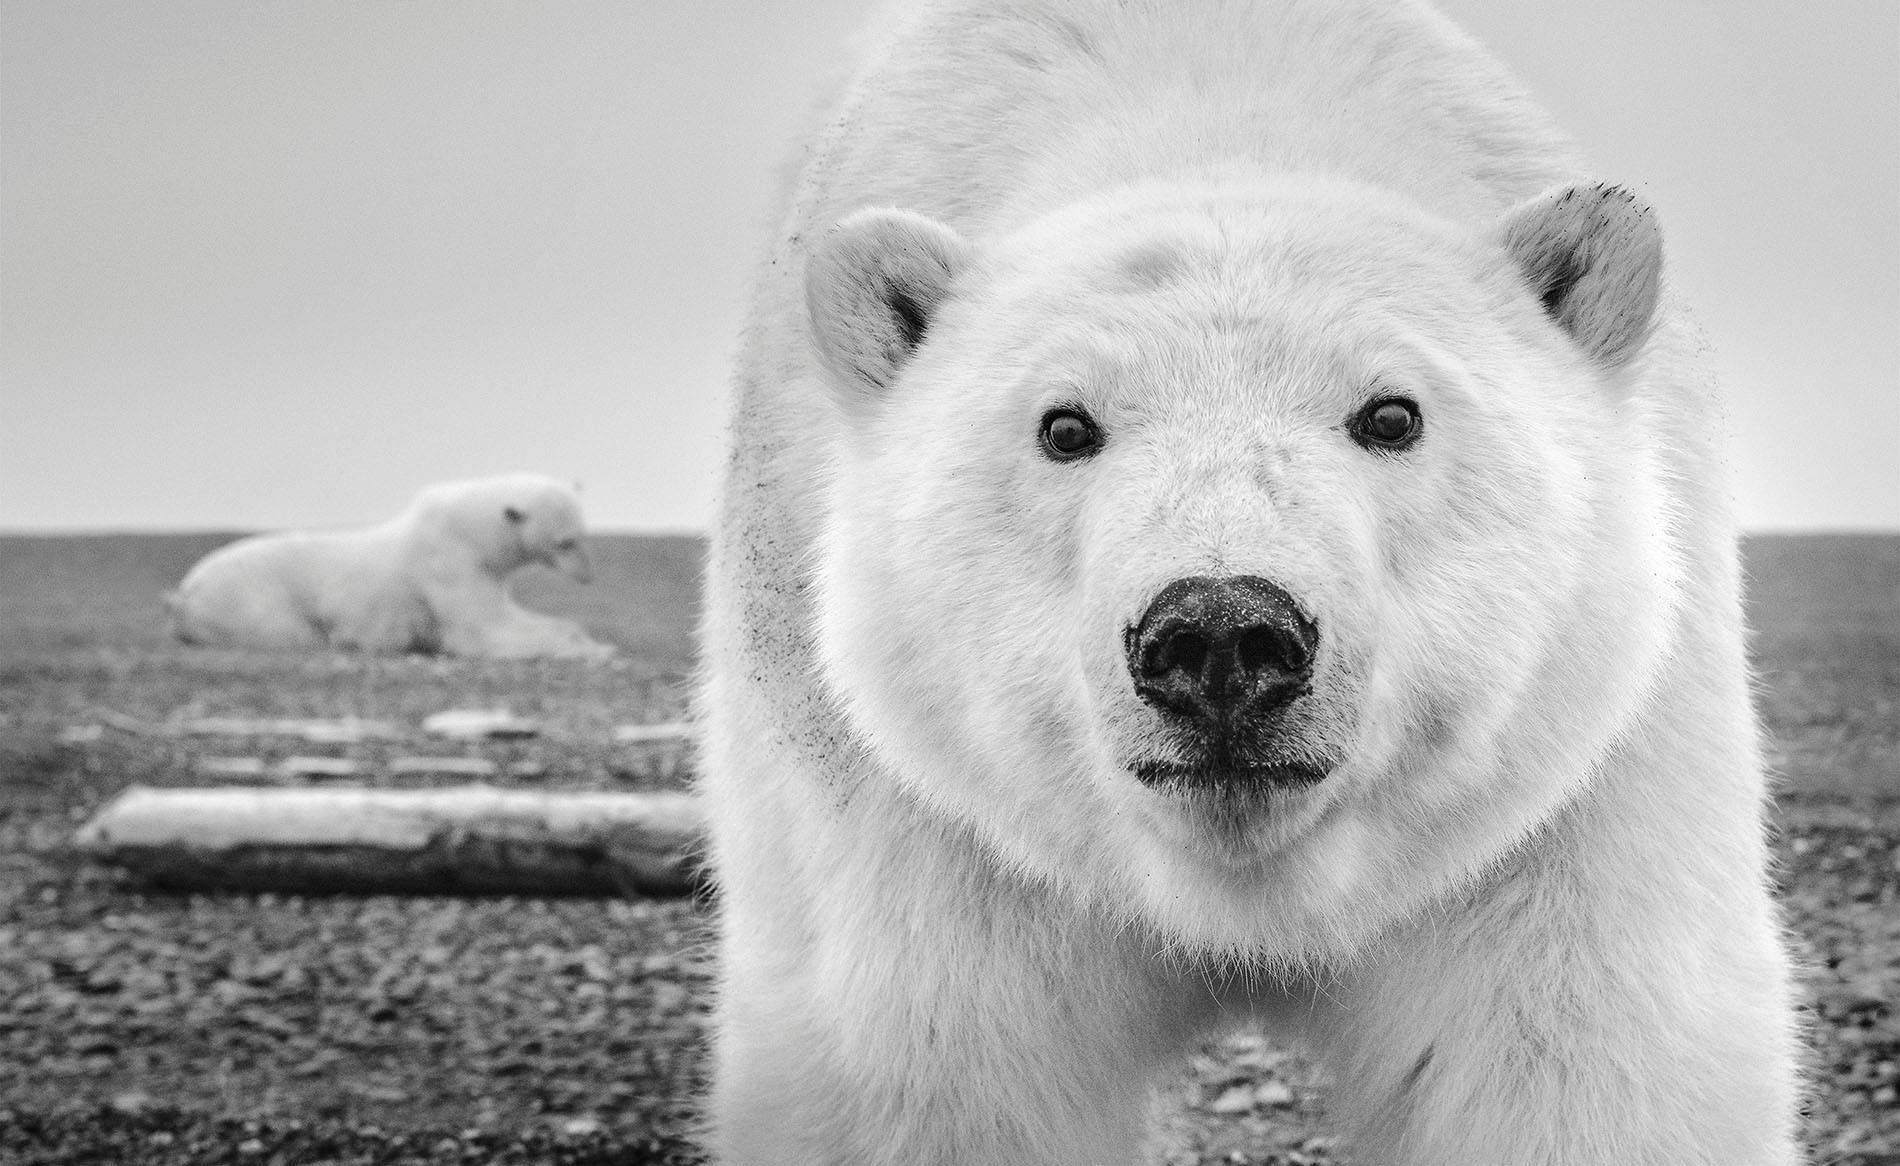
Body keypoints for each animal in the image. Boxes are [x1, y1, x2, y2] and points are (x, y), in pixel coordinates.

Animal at [170, 470, 611, 660]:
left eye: (583, 534)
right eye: (565, 542)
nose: (589, 575)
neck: (468, 528)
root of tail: (186, 589)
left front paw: (594, 642)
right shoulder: (447, 562)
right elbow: (479, 631)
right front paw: (589, 648)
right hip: (248, 599)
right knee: (288, 632)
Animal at [695, 2, 1793, 1166]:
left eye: (1392, 412)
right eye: (1064, 425)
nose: (1221, 634)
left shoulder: (1566, 805)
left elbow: (1586, 1065)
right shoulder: (925, 826)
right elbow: (933, 1079)